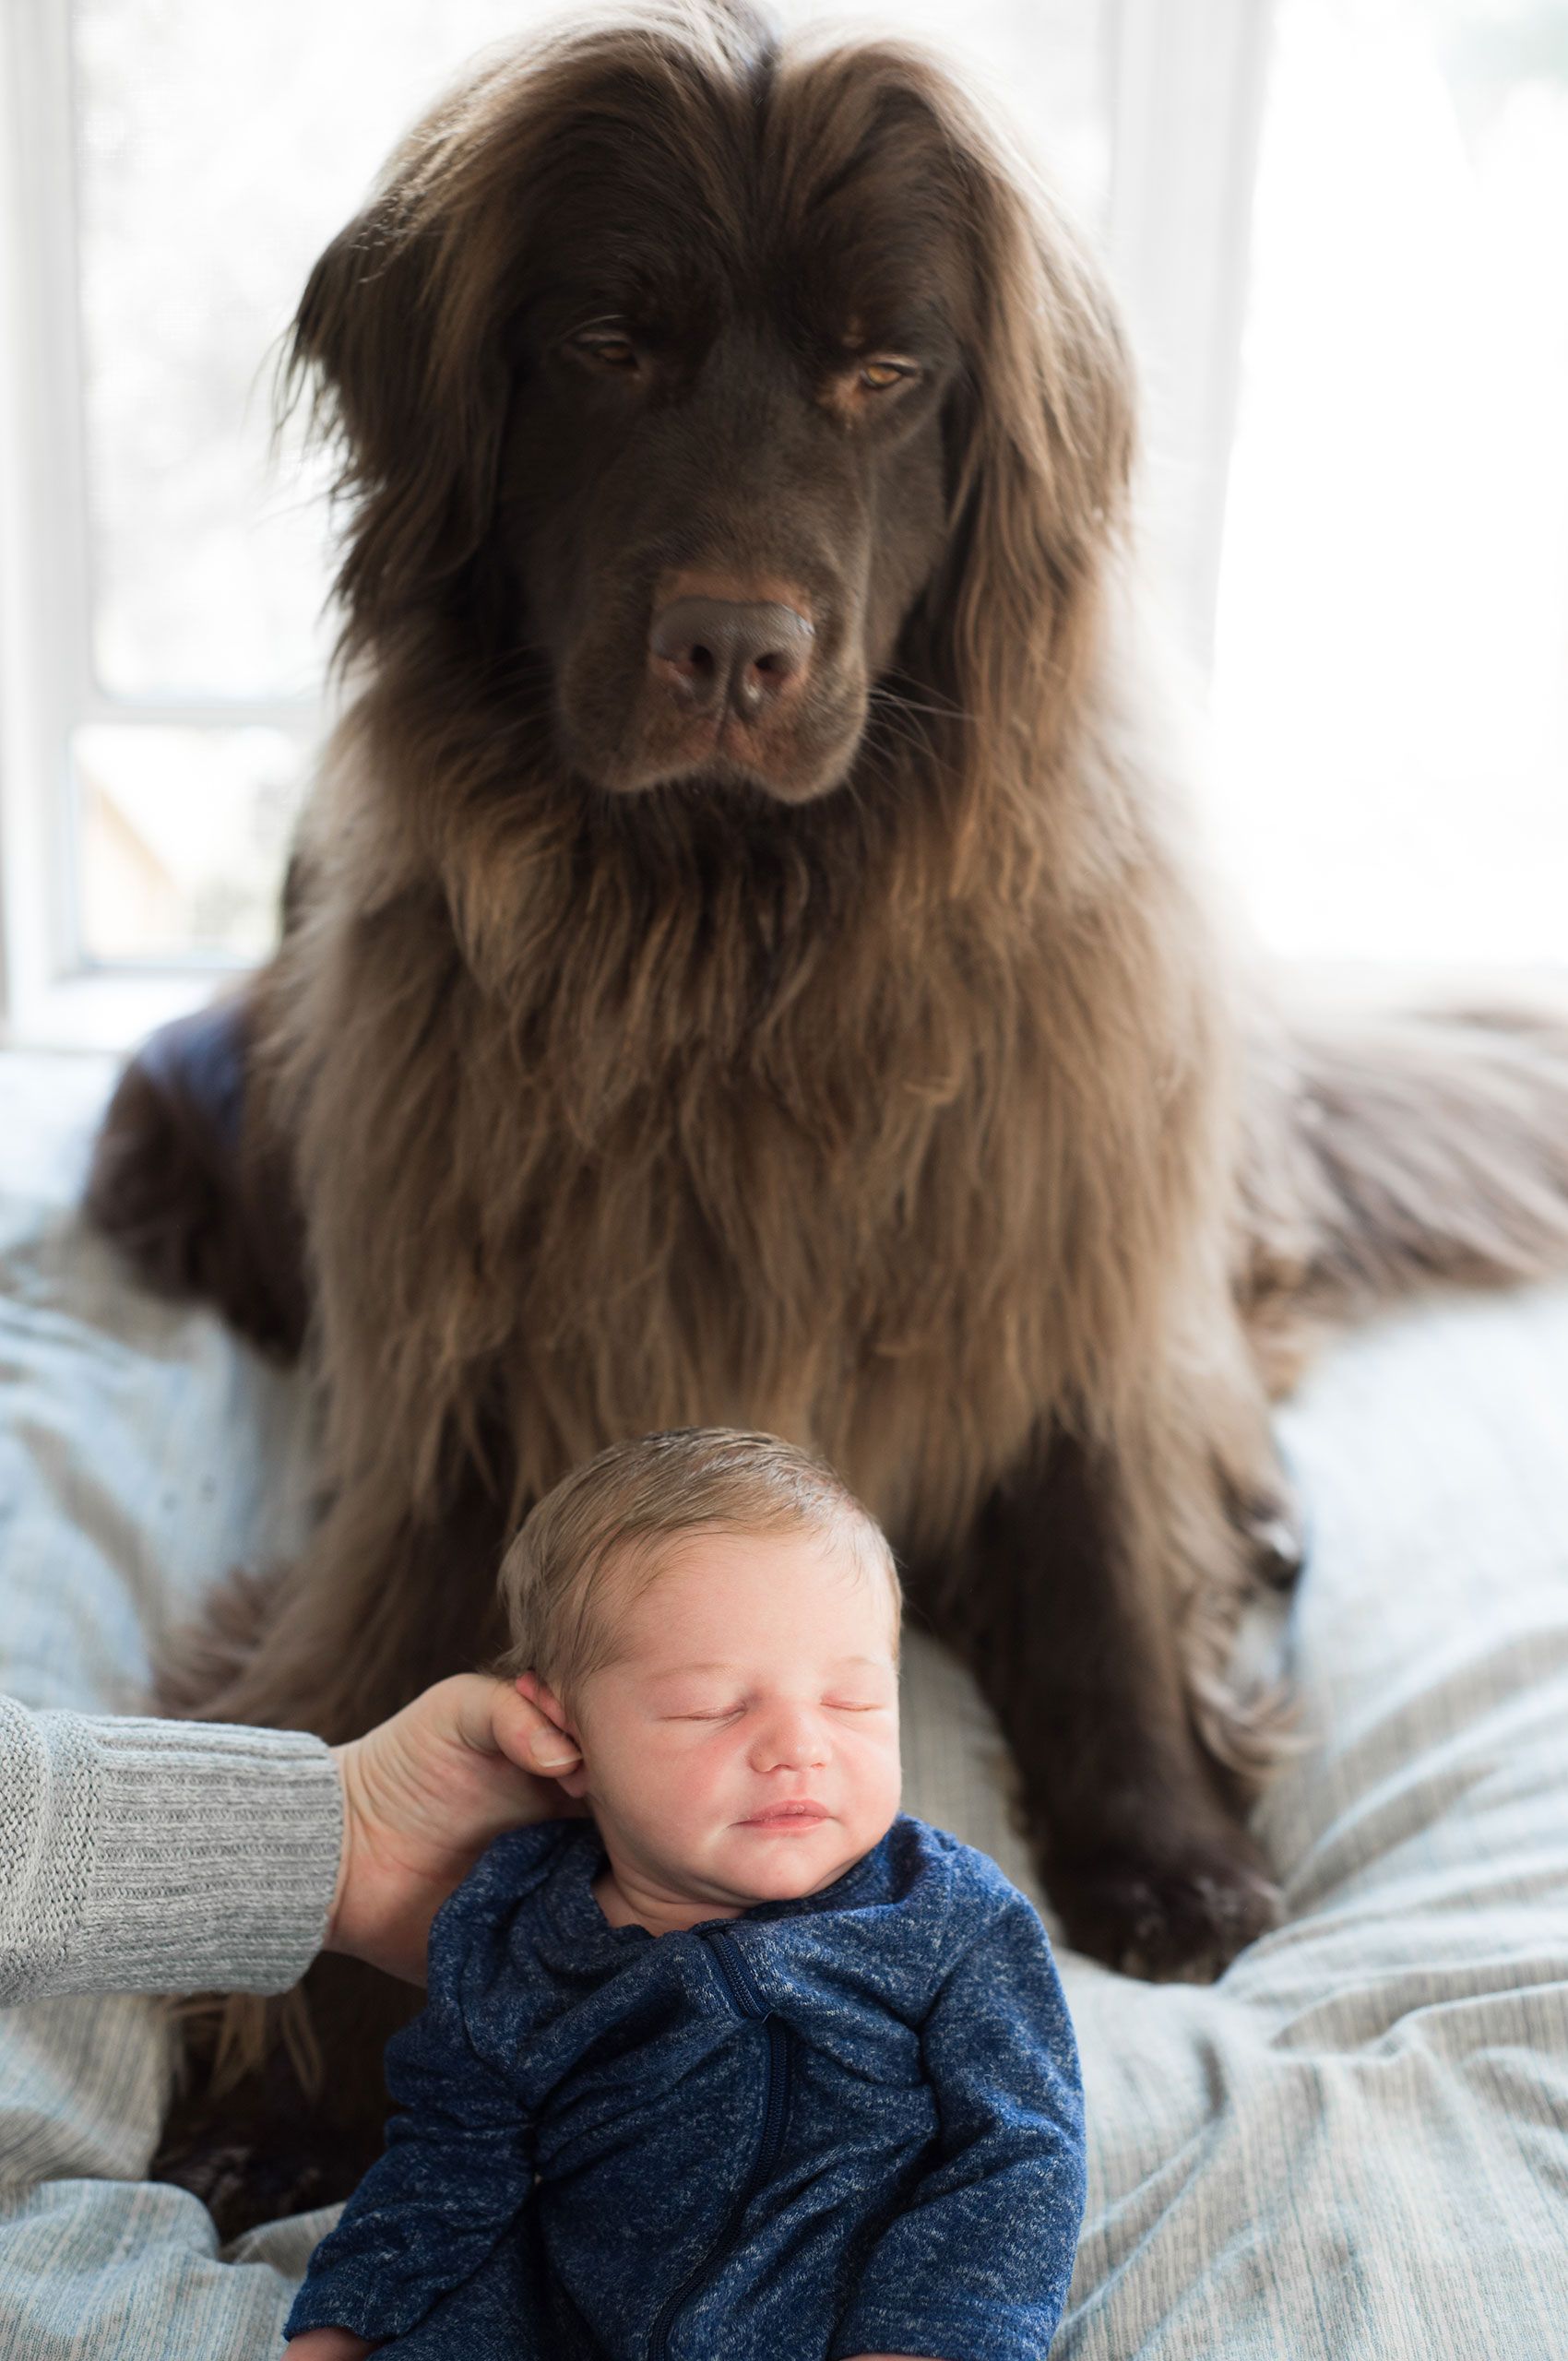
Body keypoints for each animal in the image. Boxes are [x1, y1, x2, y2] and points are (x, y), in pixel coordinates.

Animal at [85, 0, 1568, 2210]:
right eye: (606, 344)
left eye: (887, 373)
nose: (732, 647)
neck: (739, 944)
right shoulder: (456, 1382)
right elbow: (375, 1680)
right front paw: (300, 2067)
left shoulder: (1053, 1223)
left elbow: (1095, 1520)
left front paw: (1159, 1839)